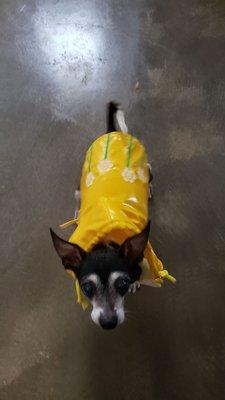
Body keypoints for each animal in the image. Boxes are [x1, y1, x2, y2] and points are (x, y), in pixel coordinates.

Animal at [50, 101, 175, 330]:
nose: (108, 323)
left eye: (122, 284)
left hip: (149, 169)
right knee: (78, 196)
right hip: (78, 188)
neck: (105, 238)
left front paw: (137, 282)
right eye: (87, 288)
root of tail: (113, 133)